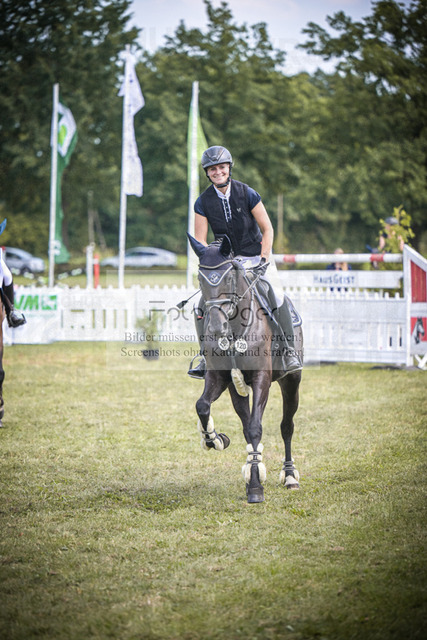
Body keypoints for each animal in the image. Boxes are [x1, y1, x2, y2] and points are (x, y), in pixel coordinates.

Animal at [188, 234, 303, 503]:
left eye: (229, 277)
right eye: (200, 278)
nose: (216, 329)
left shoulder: (262, 378)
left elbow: (256, 427)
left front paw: (256, 488)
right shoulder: (223, 379)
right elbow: (203, 406)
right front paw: (215, 439)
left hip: (291, 381)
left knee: (286, 426)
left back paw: (289, 476)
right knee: (246, 423)